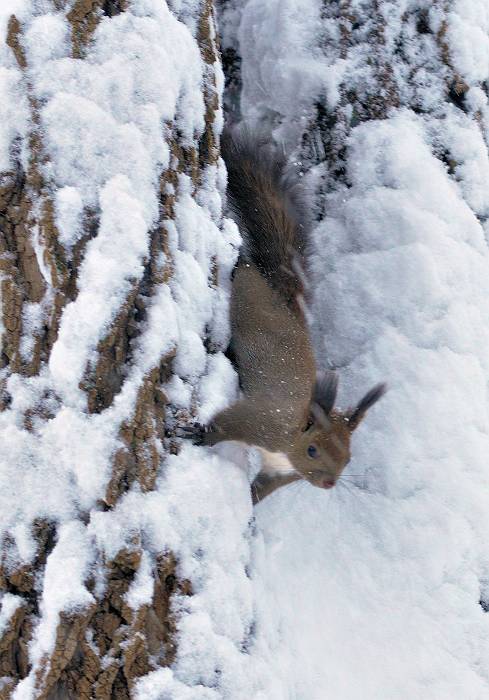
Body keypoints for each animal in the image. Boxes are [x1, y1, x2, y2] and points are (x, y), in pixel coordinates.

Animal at [187, 130, 386, 504]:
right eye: (312, 450)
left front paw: (249, 508)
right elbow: (227, 422)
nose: (329, 483)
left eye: (349, 457)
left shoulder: (280, 473)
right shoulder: (264, 422)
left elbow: (261, 489)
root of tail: (277, 286)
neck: (290, 440)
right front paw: (199, 436)